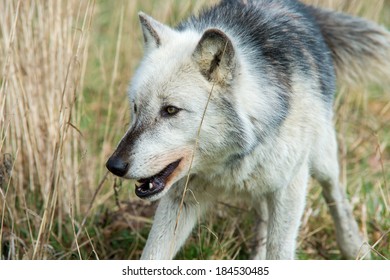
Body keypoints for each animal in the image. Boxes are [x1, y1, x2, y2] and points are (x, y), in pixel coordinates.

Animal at [104, 0, 390, 260]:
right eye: (136, 107)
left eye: (170, 110)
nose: (113, 165)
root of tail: (299, 6)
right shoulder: (180, 198)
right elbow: (153, 255)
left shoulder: (290, 187)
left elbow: (280, 253)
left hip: (321, 160)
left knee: (335, 193)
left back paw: (356, 248)